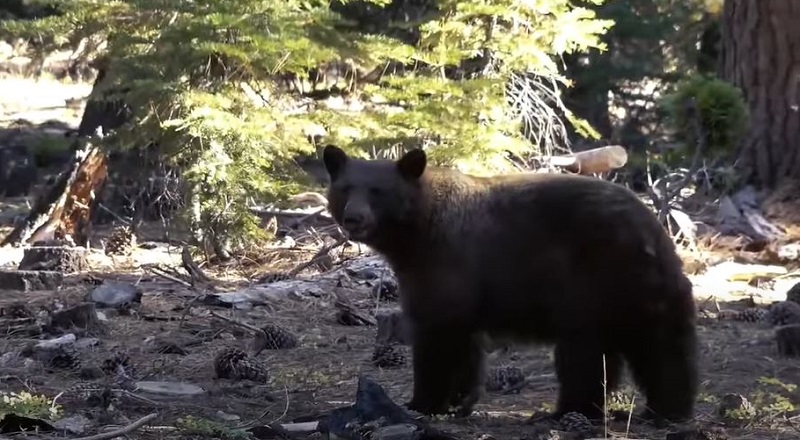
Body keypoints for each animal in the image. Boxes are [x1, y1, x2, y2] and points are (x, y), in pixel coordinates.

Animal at [322, 144, 696, 422]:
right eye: (345, 188)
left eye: (378, 191)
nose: (354, 218)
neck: (416, 231)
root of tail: (652, 229)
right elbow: (466, 347)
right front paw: (459, 401)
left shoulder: (445, 263)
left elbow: (437, 335)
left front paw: (421, 403)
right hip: (639, 291)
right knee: (661, 346)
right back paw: (666, 409)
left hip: (594, 285)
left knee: (588, 352)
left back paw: (565, 411)